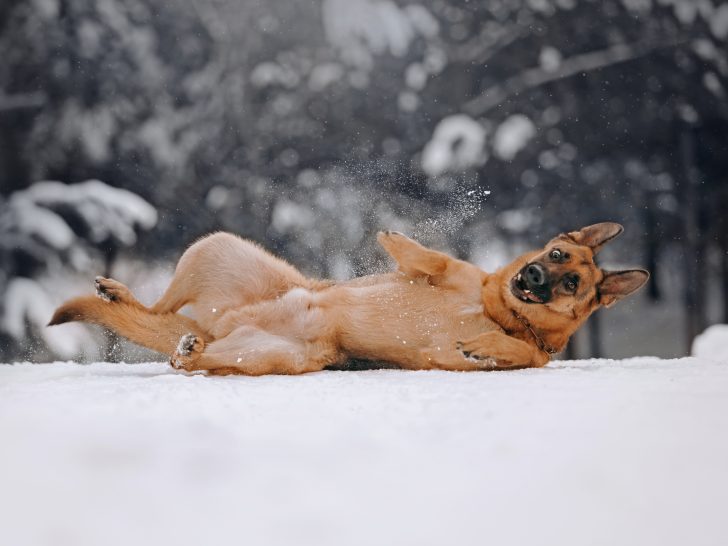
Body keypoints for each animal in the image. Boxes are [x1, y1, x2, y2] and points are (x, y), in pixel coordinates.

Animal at [48, 221, 648, 374]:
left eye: (571, 283)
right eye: (555, 252)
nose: (533, 276)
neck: (499, 310)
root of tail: (223, 326)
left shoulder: (513, 353)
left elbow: (523, 353)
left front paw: (487, 346)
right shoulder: (449, 274)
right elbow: (433, 260)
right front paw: (394, 238)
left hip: (269, 358)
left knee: (192, 357)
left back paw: (188, 352)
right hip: (210, 250)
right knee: (158, 307)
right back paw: (117, 290)